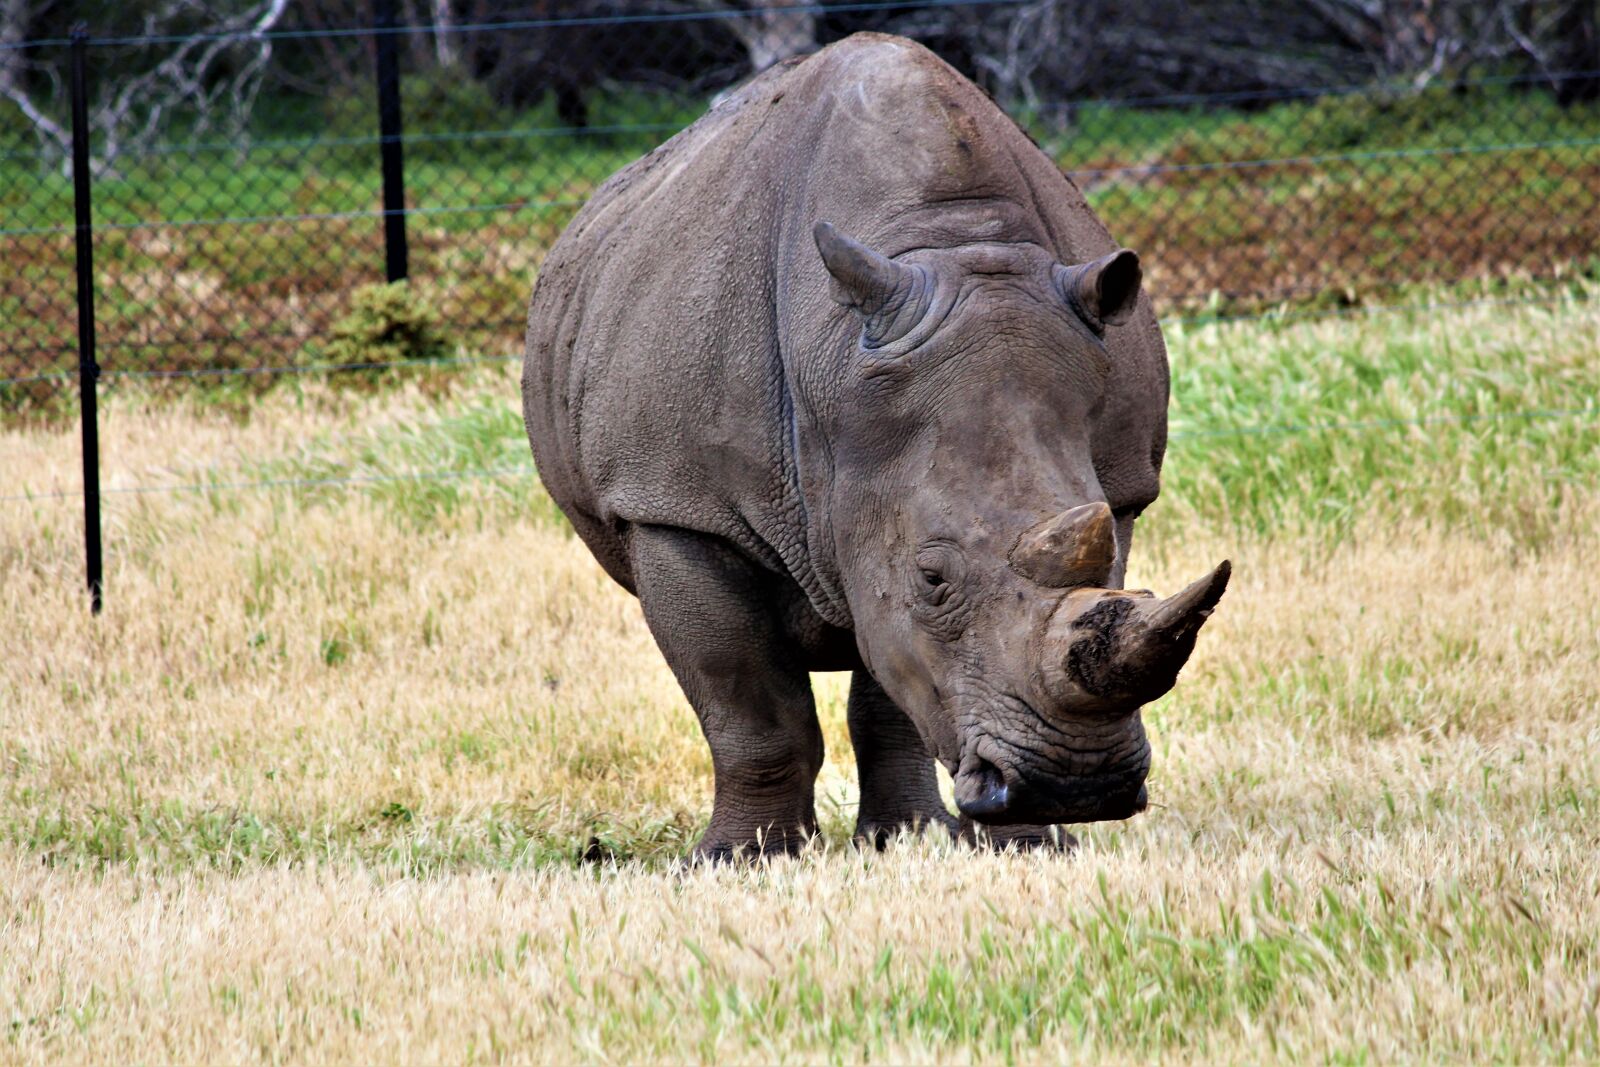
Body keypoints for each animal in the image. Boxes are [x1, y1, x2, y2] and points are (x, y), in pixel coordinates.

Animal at [522, 33, 1228, 859]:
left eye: (1116, 560)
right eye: (932, 576)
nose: (1077, 784)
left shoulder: (1112, 481)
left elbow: (896, 683)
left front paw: (961, 842)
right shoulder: (673, 502)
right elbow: (749, 704)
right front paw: (741, 858)